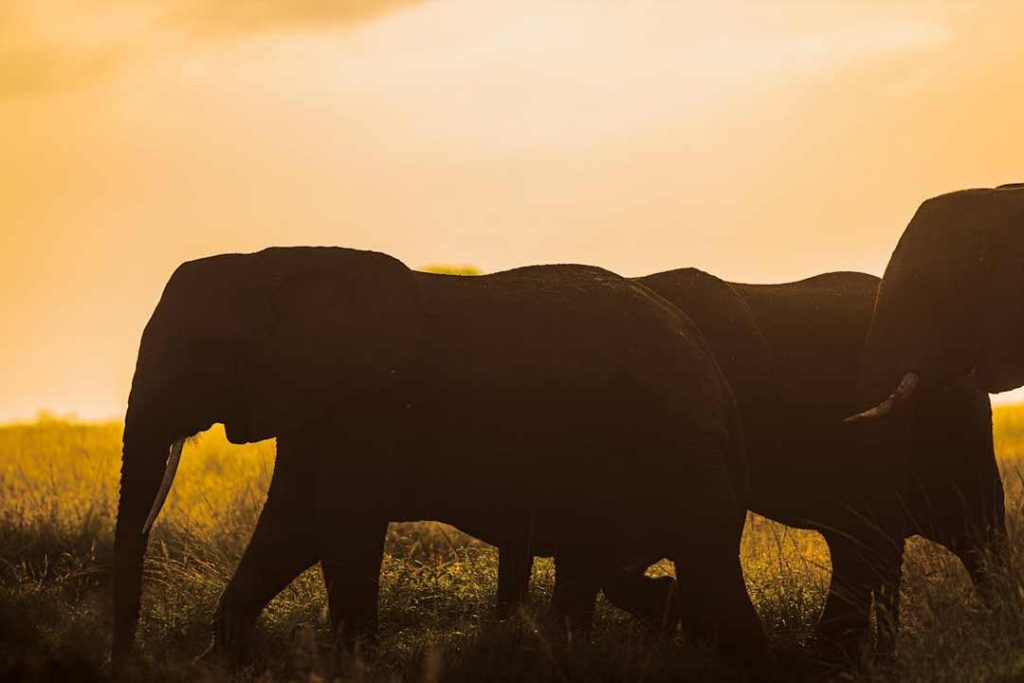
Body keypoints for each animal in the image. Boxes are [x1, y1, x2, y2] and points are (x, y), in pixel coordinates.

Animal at [111, 246, 767, 669]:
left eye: (198, 348)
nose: (128, 657)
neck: (273, 262)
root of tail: (714, 372)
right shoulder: (317, 400)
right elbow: (290, 526)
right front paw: (218, 658)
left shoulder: (367, 404)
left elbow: (337, 523)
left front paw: (354, 665)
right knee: (605, 562)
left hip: (672, 440)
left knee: (700, 556)